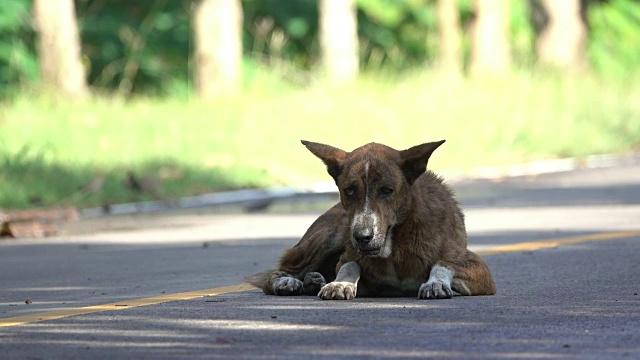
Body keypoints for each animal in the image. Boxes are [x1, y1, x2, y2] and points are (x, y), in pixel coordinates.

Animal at [248, 139, 498, 300]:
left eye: (387, 191)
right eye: (349, 191)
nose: (362, 237)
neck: (395, 247)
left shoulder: (480, 270)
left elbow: (443, 263)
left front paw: (435, 283)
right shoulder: (353, 260)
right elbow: (349, 264)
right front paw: (340, 283)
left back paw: (314, 280)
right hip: (329, 236)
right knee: (279, 272)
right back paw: (289, 282)